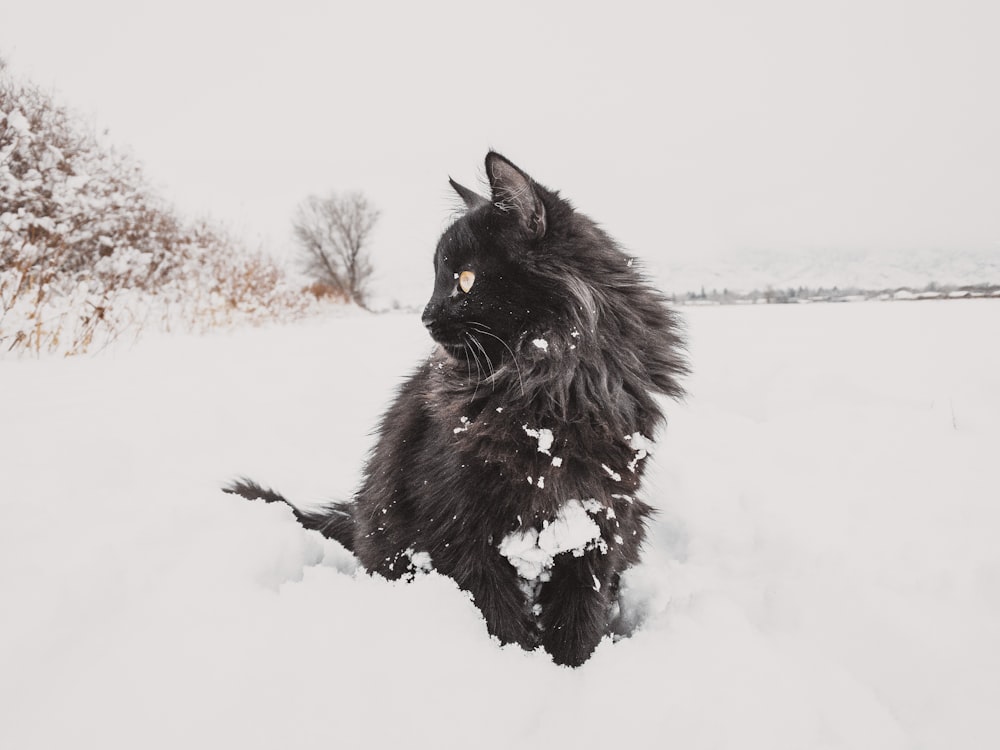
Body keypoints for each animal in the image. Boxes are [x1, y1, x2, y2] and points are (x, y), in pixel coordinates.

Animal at [225, 150, 688, 668]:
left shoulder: (598, 520)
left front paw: (570, 668)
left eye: (464, 279)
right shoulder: (456, 524)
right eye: (436, 278)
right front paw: (521, 665)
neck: (549, 393)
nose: (425, 316)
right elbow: (499, 617)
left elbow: (578, 618)